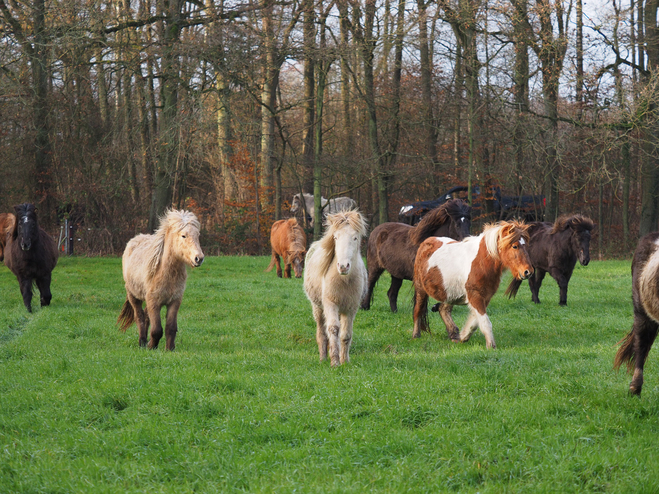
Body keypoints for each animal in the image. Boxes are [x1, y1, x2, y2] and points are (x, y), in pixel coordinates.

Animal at [116, 208, 204, 352]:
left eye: (197, 235)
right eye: (183, 236)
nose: (199, 258)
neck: (165, 273)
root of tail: (135, 239)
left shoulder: (174, 302)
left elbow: (171, 327)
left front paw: (170, 349)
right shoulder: (154, 302)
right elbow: (157, 329)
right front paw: (152, 346)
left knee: (146, 318)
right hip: (133, 296)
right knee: (139, 317)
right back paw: (142, 342)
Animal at [302, 209, 366, 366]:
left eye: (355, 238)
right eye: (335, 237)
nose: (343, 266)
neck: (344, 280)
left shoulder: (350, 309)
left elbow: (345, 334)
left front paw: (345, 361)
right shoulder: (330, 304)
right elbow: (333, 329)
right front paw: (335, 362)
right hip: (318, 308)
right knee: (322, 332)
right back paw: (323, 358)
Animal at [416, 220, 532, 348]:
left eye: (526, 246)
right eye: (515, 246)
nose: (528, 272)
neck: (482, 262)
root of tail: (426, 242)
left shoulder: (484, 298)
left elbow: (474, 322)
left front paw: (462, 337)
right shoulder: (475, 296)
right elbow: (485, 322)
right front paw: (491, 346)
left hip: (450, 294)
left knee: (443, 309)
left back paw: (453, 335)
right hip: (421, 289)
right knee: (418, 310)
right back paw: (415, 336)